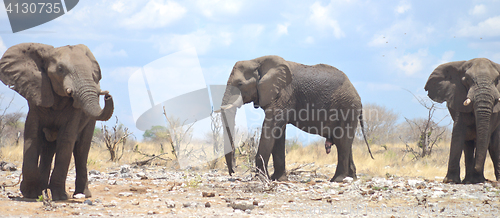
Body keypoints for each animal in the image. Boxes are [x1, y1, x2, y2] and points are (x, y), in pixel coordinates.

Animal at [0, 43, 114, 201]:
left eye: (93, 74)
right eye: (60, 69)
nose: (107, 95)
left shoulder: (76, 110)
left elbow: (66, 140)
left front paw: (60, 196)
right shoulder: (37, 96)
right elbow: (32, 137)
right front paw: (30, 193)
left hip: (90, 121)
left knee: (81, 150)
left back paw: (82, 194)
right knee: (48, 149)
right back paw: (42, 190)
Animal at [219, 55, 372, 181]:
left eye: (240, 84)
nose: (233, 170)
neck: (257, 61)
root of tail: (358, 98)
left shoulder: (284, 93)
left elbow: (270, 128)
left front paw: (261, 179)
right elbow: (278, 132)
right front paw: (277, 179)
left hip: (347, 108)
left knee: (342, 142)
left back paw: (337, 180)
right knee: (346, 142)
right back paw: (351, 178)